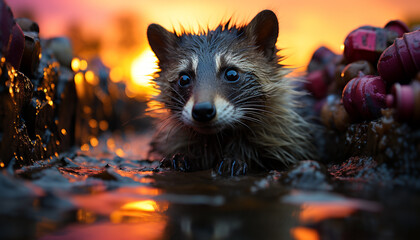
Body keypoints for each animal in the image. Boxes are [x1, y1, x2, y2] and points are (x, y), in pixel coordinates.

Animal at [148, 9, 316, 174]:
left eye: (231, 74)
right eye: (184, 79)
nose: (202, 111)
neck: (219, 136)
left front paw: (239, 156)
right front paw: (191, 156)